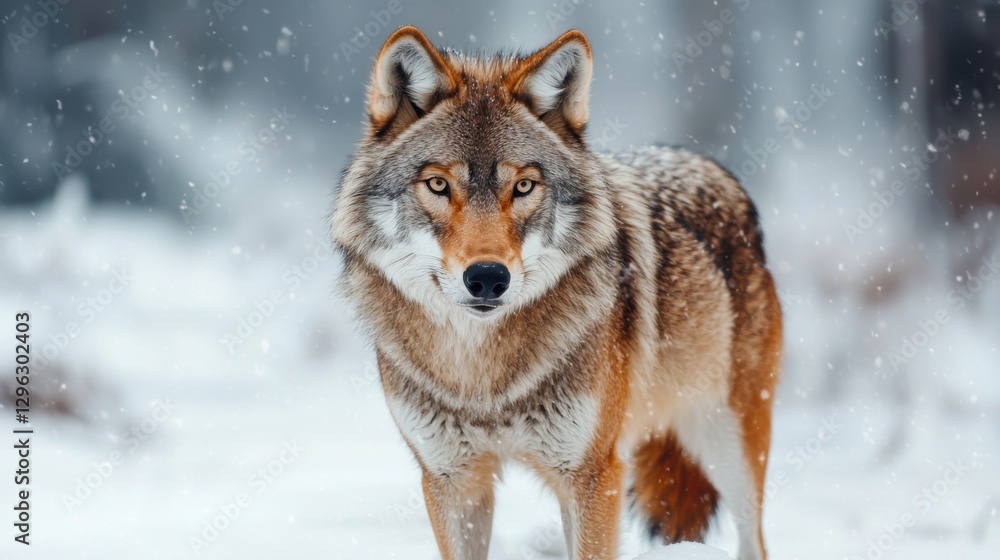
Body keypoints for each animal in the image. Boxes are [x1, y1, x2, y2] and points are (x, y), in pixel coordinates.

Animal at [331, 26, 782, 560]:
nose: (488, 277)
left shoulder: (593, 478)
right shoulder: (451, 482)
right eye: (438, 184)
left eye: (524, 186)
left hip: (729, 445)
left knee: (755, 539)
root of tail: (706, 164)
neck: (483, 379)